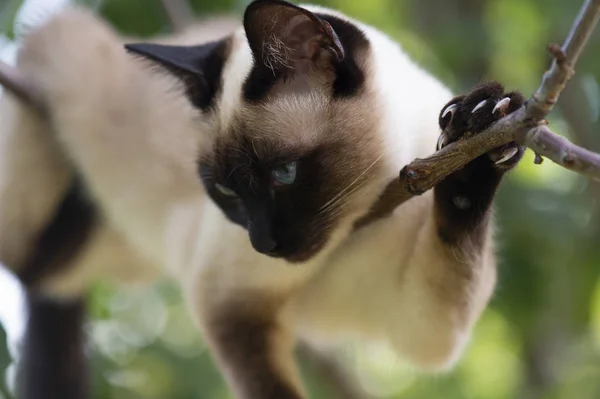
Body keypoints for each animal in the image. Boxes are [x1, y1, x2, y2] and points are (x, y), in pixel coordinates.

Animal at [0, 1, 524, 398]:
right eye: (226, 191)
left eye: (283, 174)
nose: (263, 244)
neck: (362, 220)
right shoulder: (231, 311)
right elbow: (271, 388)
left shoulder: (423, 331)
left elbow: (458, 216)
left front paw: (477, 132)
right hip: (65, 39)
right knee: (34, 269)